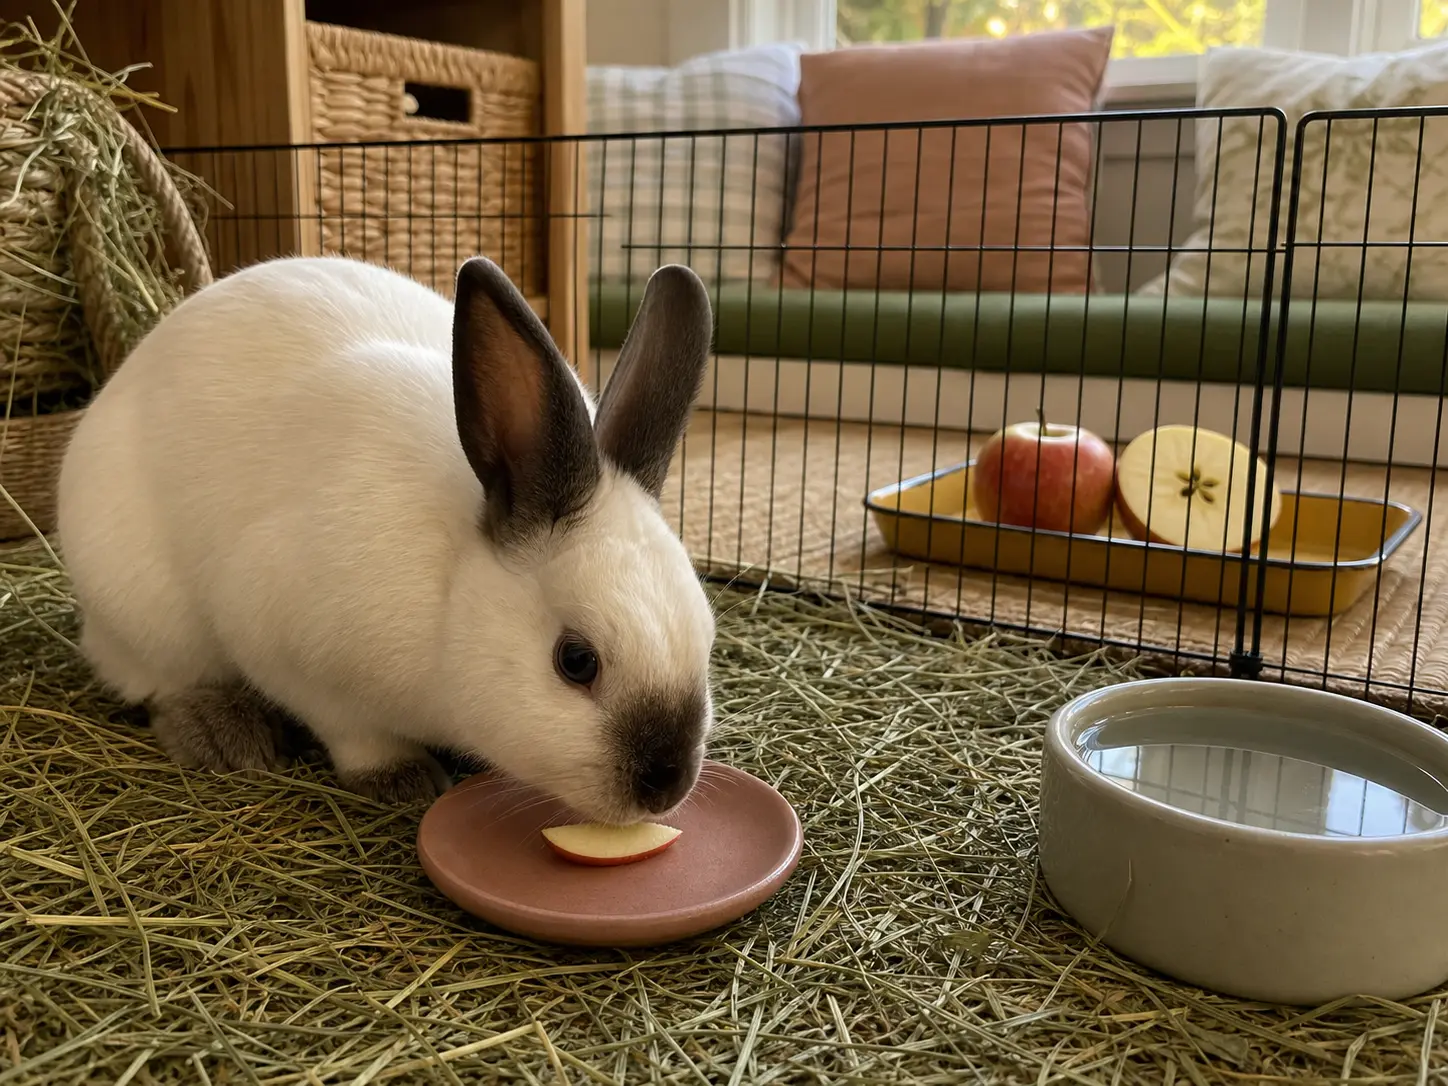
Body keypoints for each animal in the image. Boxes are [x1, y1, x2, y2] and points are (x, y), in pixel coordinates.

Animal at [56, 254, 718, 821]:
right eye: (576, 661)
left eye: (707, 636)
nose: (666, 785)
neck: (448, 595)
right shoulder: (283, 649)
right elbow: (355, 734)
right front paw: (402, 779)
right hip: (148, 613)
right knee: (155, 680)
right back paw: (223, 735)